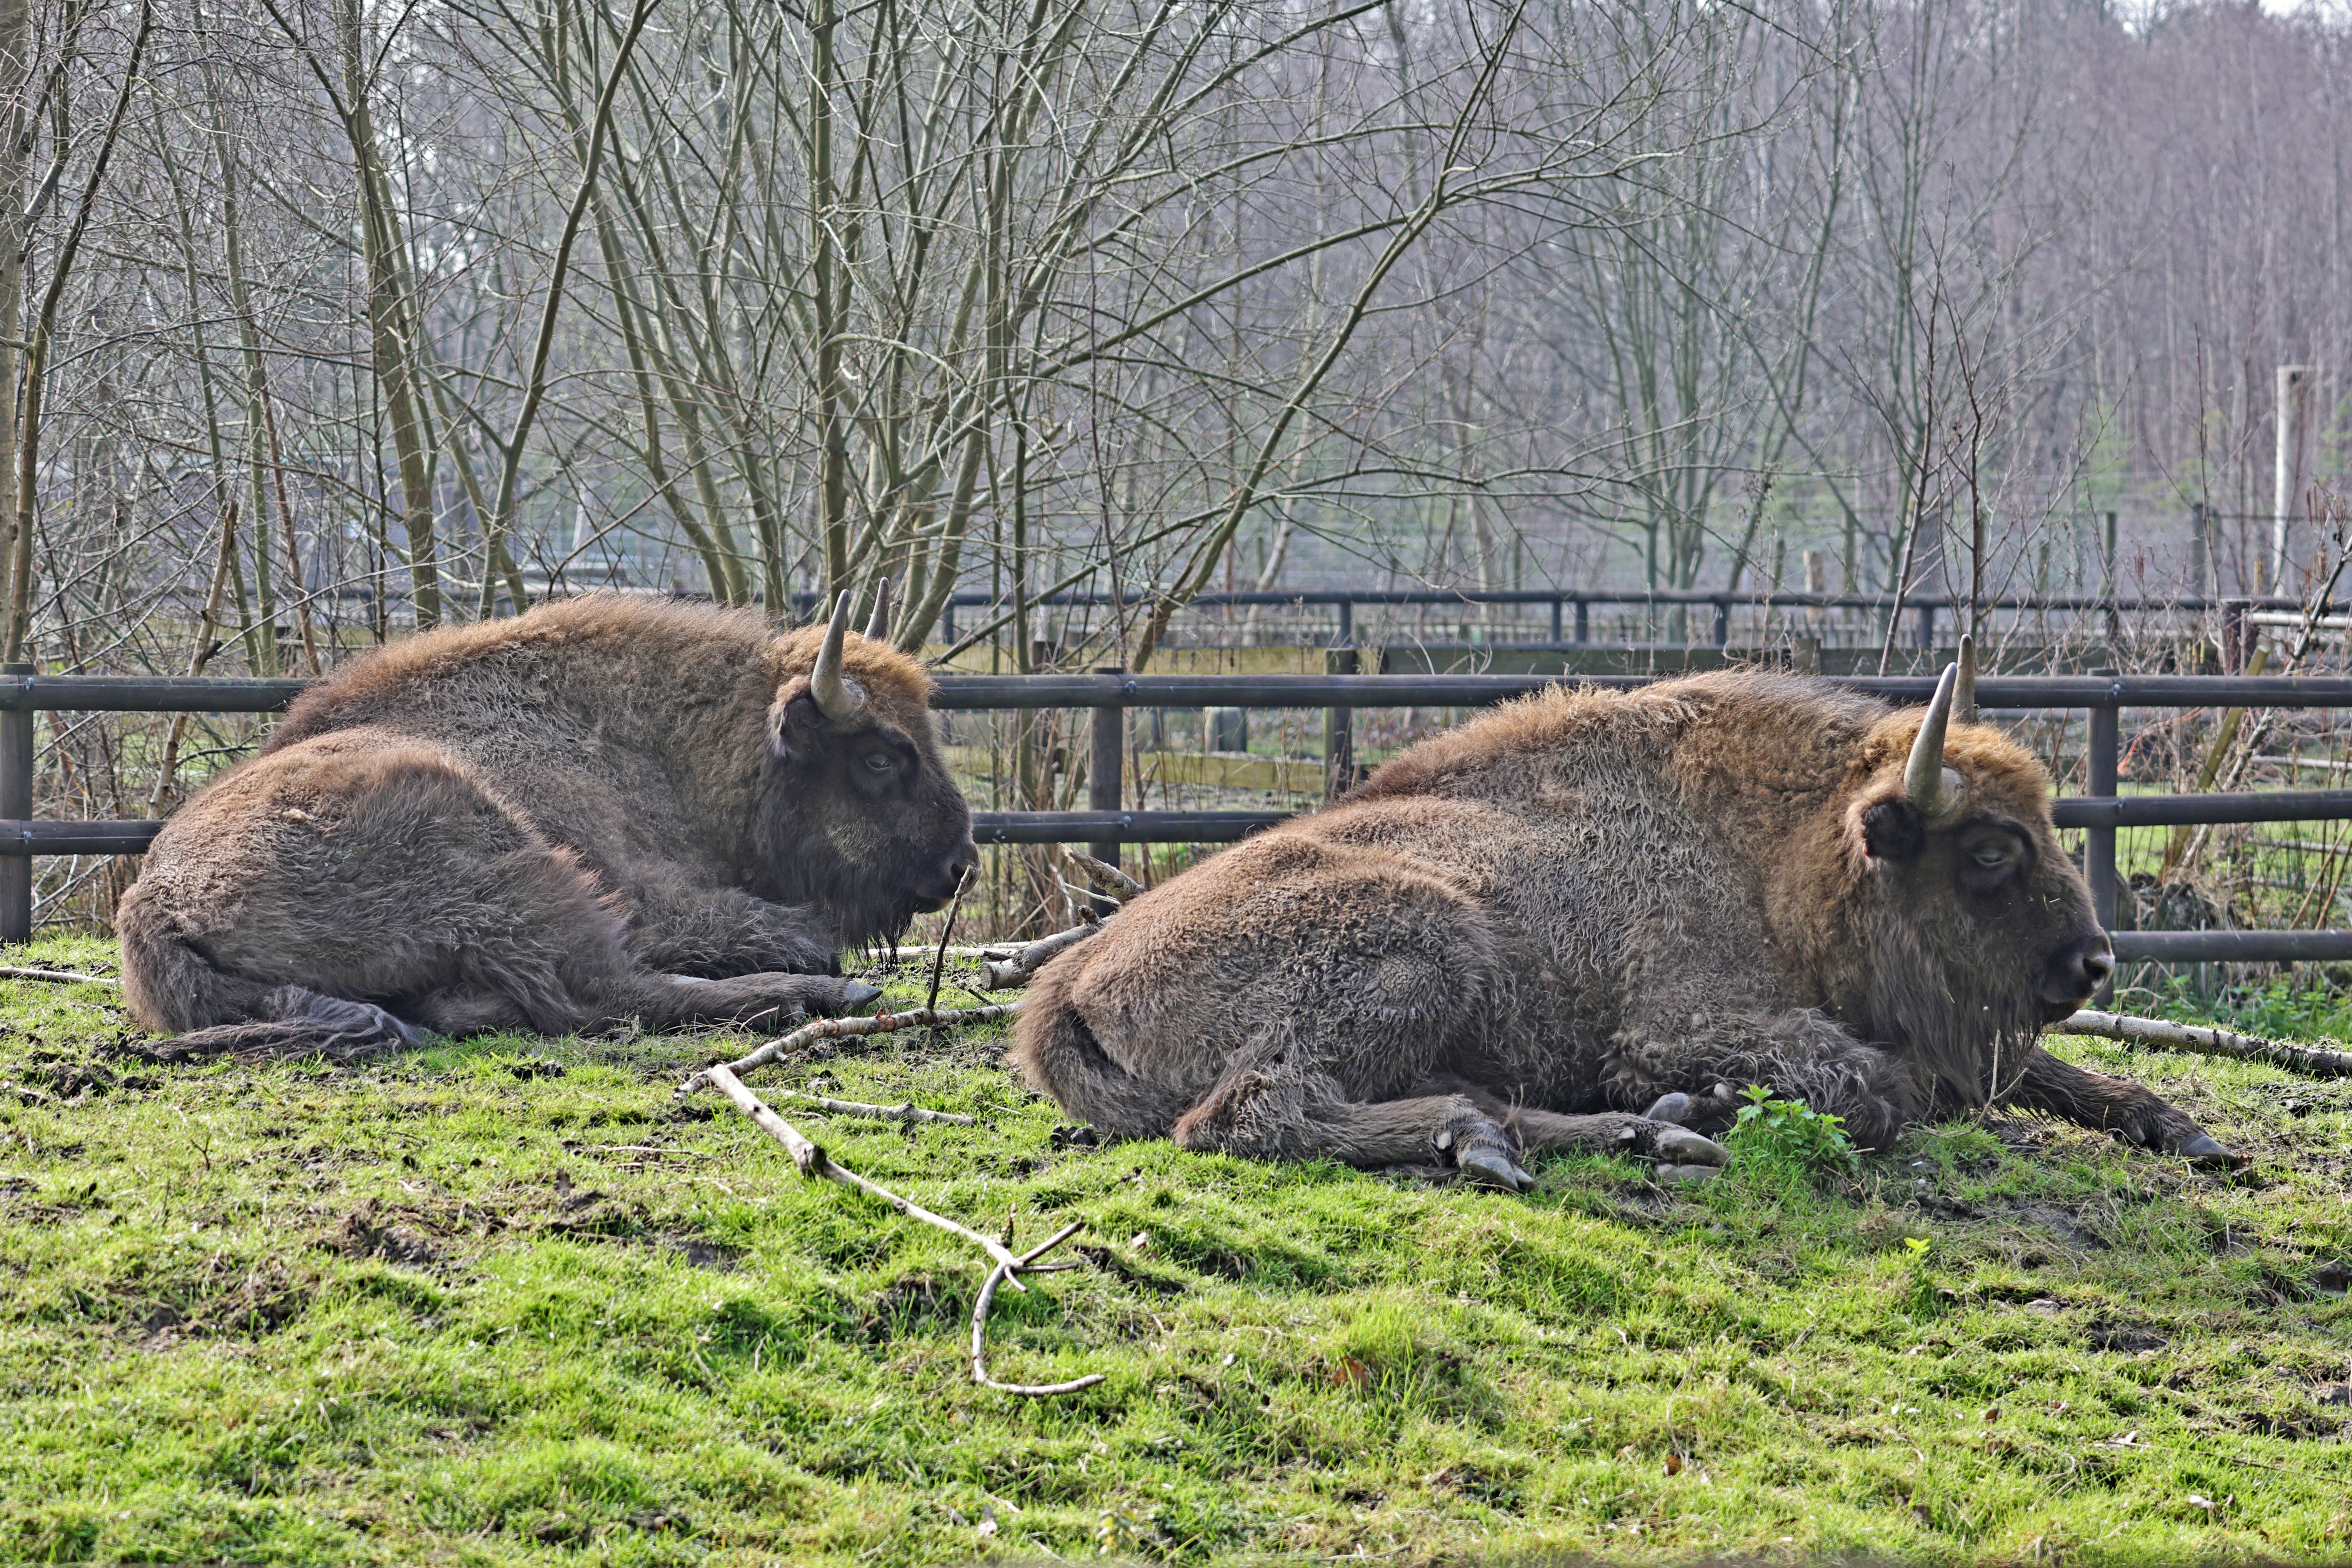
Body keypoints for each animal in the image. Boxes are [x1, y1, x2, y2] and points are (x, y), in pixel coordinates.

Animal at [119, 589, 976, 1056]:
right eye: (879, 757)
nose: (960, 861)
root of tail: (151, 906)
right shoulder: (648, 892)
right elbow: (784, 927)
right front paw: (819, 965)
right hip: (505, 859)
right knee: (601, 988)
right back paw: (831, 993)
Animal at [1012, 657, 2232, 1186]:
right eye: (1987, 852)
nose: (2092, 961)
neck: (1775, 845)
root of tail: (1060, 987)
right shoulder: (1677, 1023)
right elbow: (1878, 1090)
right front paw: (1725, 1100)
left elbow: (2045, 1073)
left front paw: (2188, 1129)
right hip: (1420, 944)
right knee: (1255, 1111)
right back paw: (1514, 1137)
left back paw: (1646, 1129)